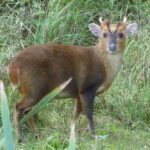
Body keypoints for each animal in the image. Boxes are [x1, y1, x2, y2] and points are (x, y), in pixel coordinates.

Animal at [7, 17, 137, 142]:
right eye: (104, 34)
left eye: (121, 34)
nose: (112, 47)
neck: (104, 65)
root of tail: (11, 68)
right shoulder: (87, 88)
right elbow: (89, 113)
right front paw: (94, 136)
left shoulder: (78, 93)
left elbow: (75, 114)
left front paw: (73, 135)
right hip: (34, 88)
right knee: (18, 107)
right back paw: (20, 138)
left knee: (28, 111)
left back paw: (37, 135)